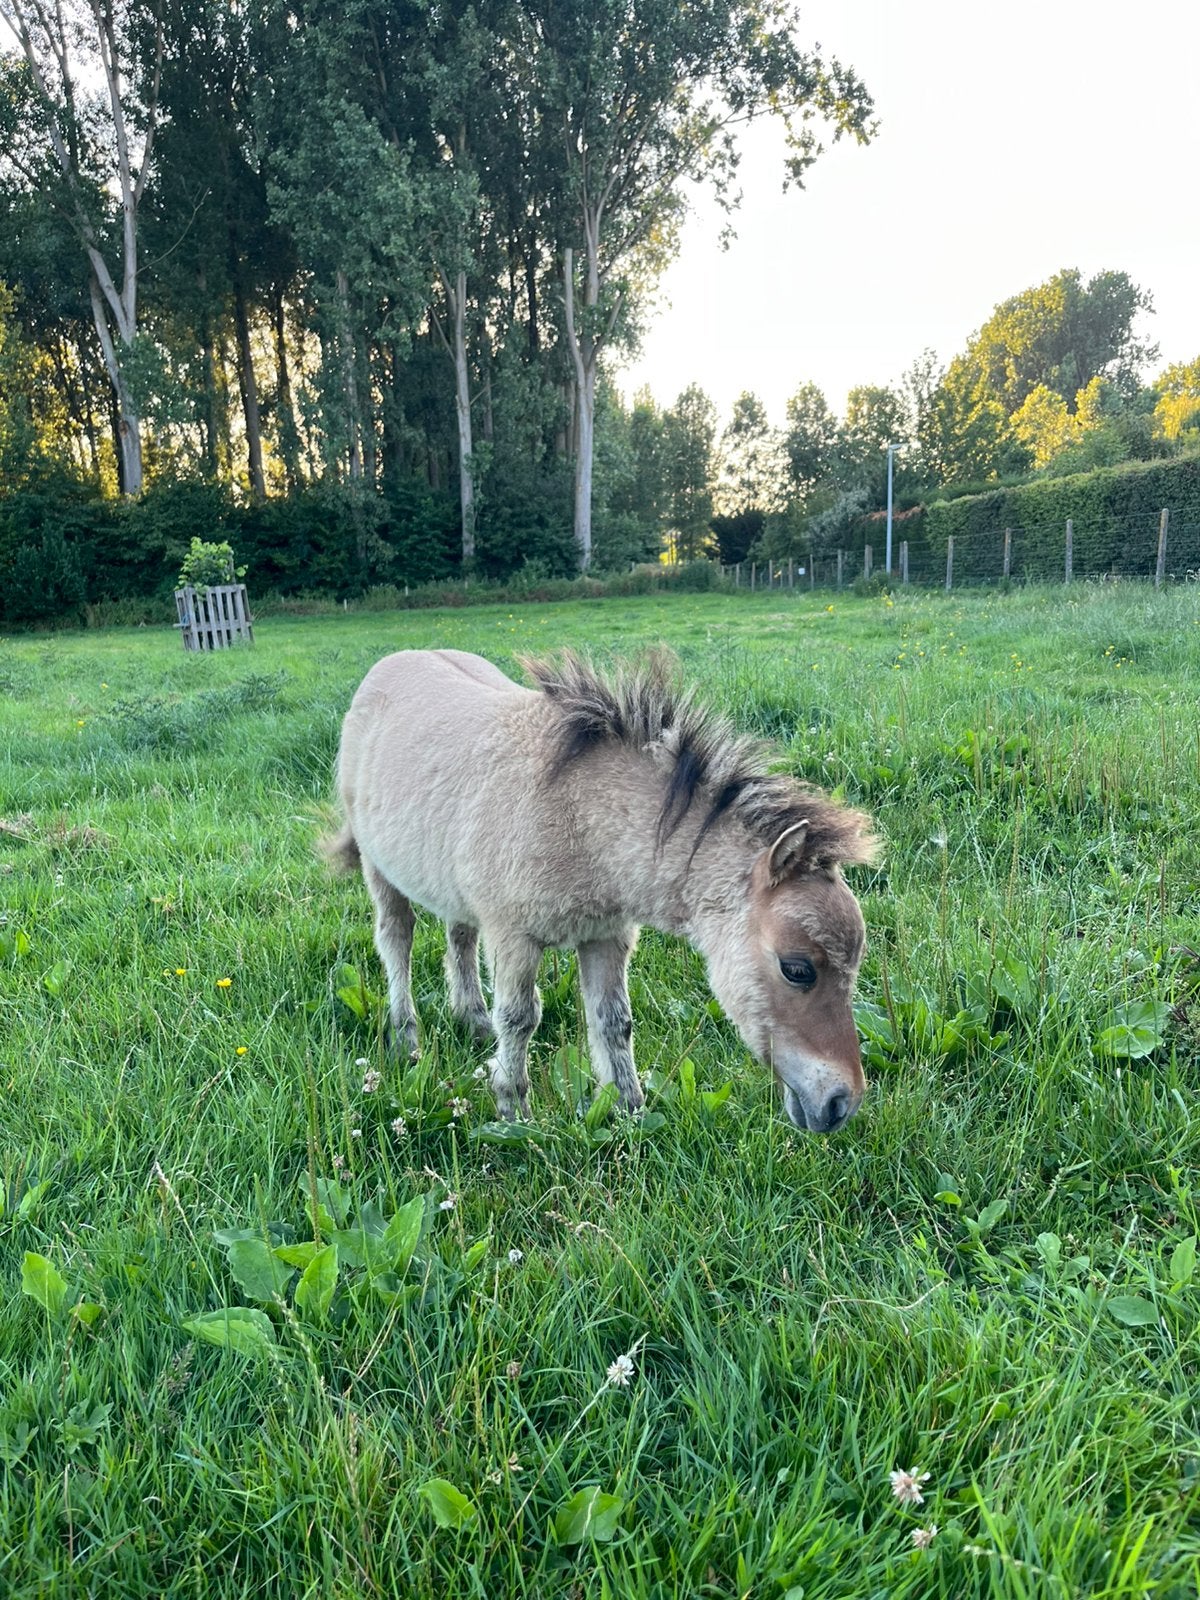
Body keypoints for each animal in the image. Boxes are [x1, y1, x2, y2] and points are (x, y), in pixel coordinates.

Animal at [324, 648, 877, 1133]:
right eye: (797, 969)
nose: (841, 1103)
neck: (579, 814)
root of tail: (387, 665)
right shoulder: (515, 938)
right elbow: (520, 1017)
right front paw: (513, 1111)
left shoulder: (605, 936)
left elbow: (614, 1021)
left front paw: (629, 1110)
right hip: (379, 868)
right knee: (396, 938)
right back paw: (406, 1038)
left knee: (459, 935)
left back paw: (472, 1019)